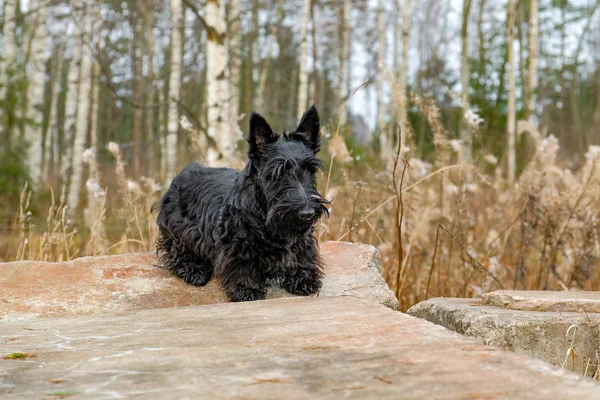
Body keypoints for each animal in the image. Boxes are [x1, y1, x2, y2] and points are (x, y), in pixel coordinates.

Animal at [154, 104, 328, 302]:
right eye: (277, 173)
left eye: (311, 169)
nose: (307, 214)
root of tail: (182, 175)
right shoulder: (237, 246)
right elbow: (242, 267)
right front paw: (246, 289)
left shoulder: (302, 240)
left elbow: (301, 257)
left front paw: (304, 278)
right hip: (178, 229)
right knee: (174, 251)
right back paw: (193, 270)